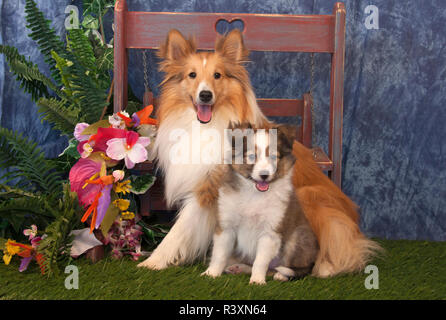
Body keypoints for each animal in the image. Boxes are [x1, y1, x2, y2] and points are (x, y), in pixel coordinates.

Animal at [202, 125, 318, 284]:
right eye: (252, 157)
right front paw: (211, 274)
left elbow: (261, 261)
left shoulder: (270, 232)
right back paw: (238, 268)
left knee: (296, 268)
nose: (264, 175)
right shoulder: (226, 227)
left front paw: (257, 281)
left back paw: (281, 275)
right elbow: (219, 255)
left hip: (298, 237)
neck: (254, 193)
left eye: (274, 158)